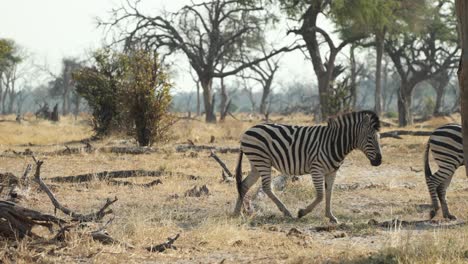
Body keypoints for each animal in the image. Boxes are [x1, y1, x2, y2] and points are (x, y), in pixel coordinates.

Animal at [234, 110, 384, 223]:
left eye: (379, 137)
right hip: (262, 160)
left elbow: (329, 193)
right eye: (370, 138)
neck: (335, 143)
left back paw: (237, 213)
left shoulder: (332, 171)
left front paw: (331, 216)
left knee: (244, 184)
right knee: (266, 187)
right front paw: (302, 212)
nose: (379, 161)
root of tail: (248, 131)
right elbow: (320, 195)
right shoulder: (316, 169)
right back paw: (286, 212)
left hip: (256, 163)